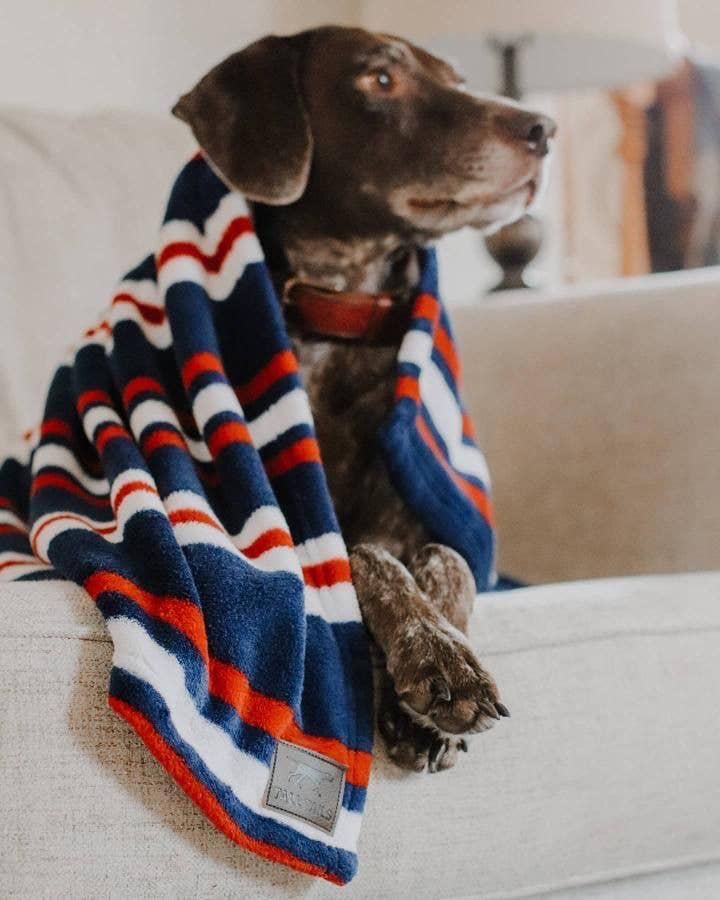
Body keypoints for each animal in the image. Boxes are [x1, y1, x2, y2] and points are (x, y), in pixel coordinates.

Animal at [172, 26, 556, 772]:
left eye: (459, 79)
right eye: (380, 79)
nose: (544, 129)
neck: (341, 306)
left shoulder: (422, 514)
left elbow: (448, 560)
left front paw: (433, 680)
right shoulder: (295, 523)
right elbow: (363, 555)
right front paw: (438, 661)